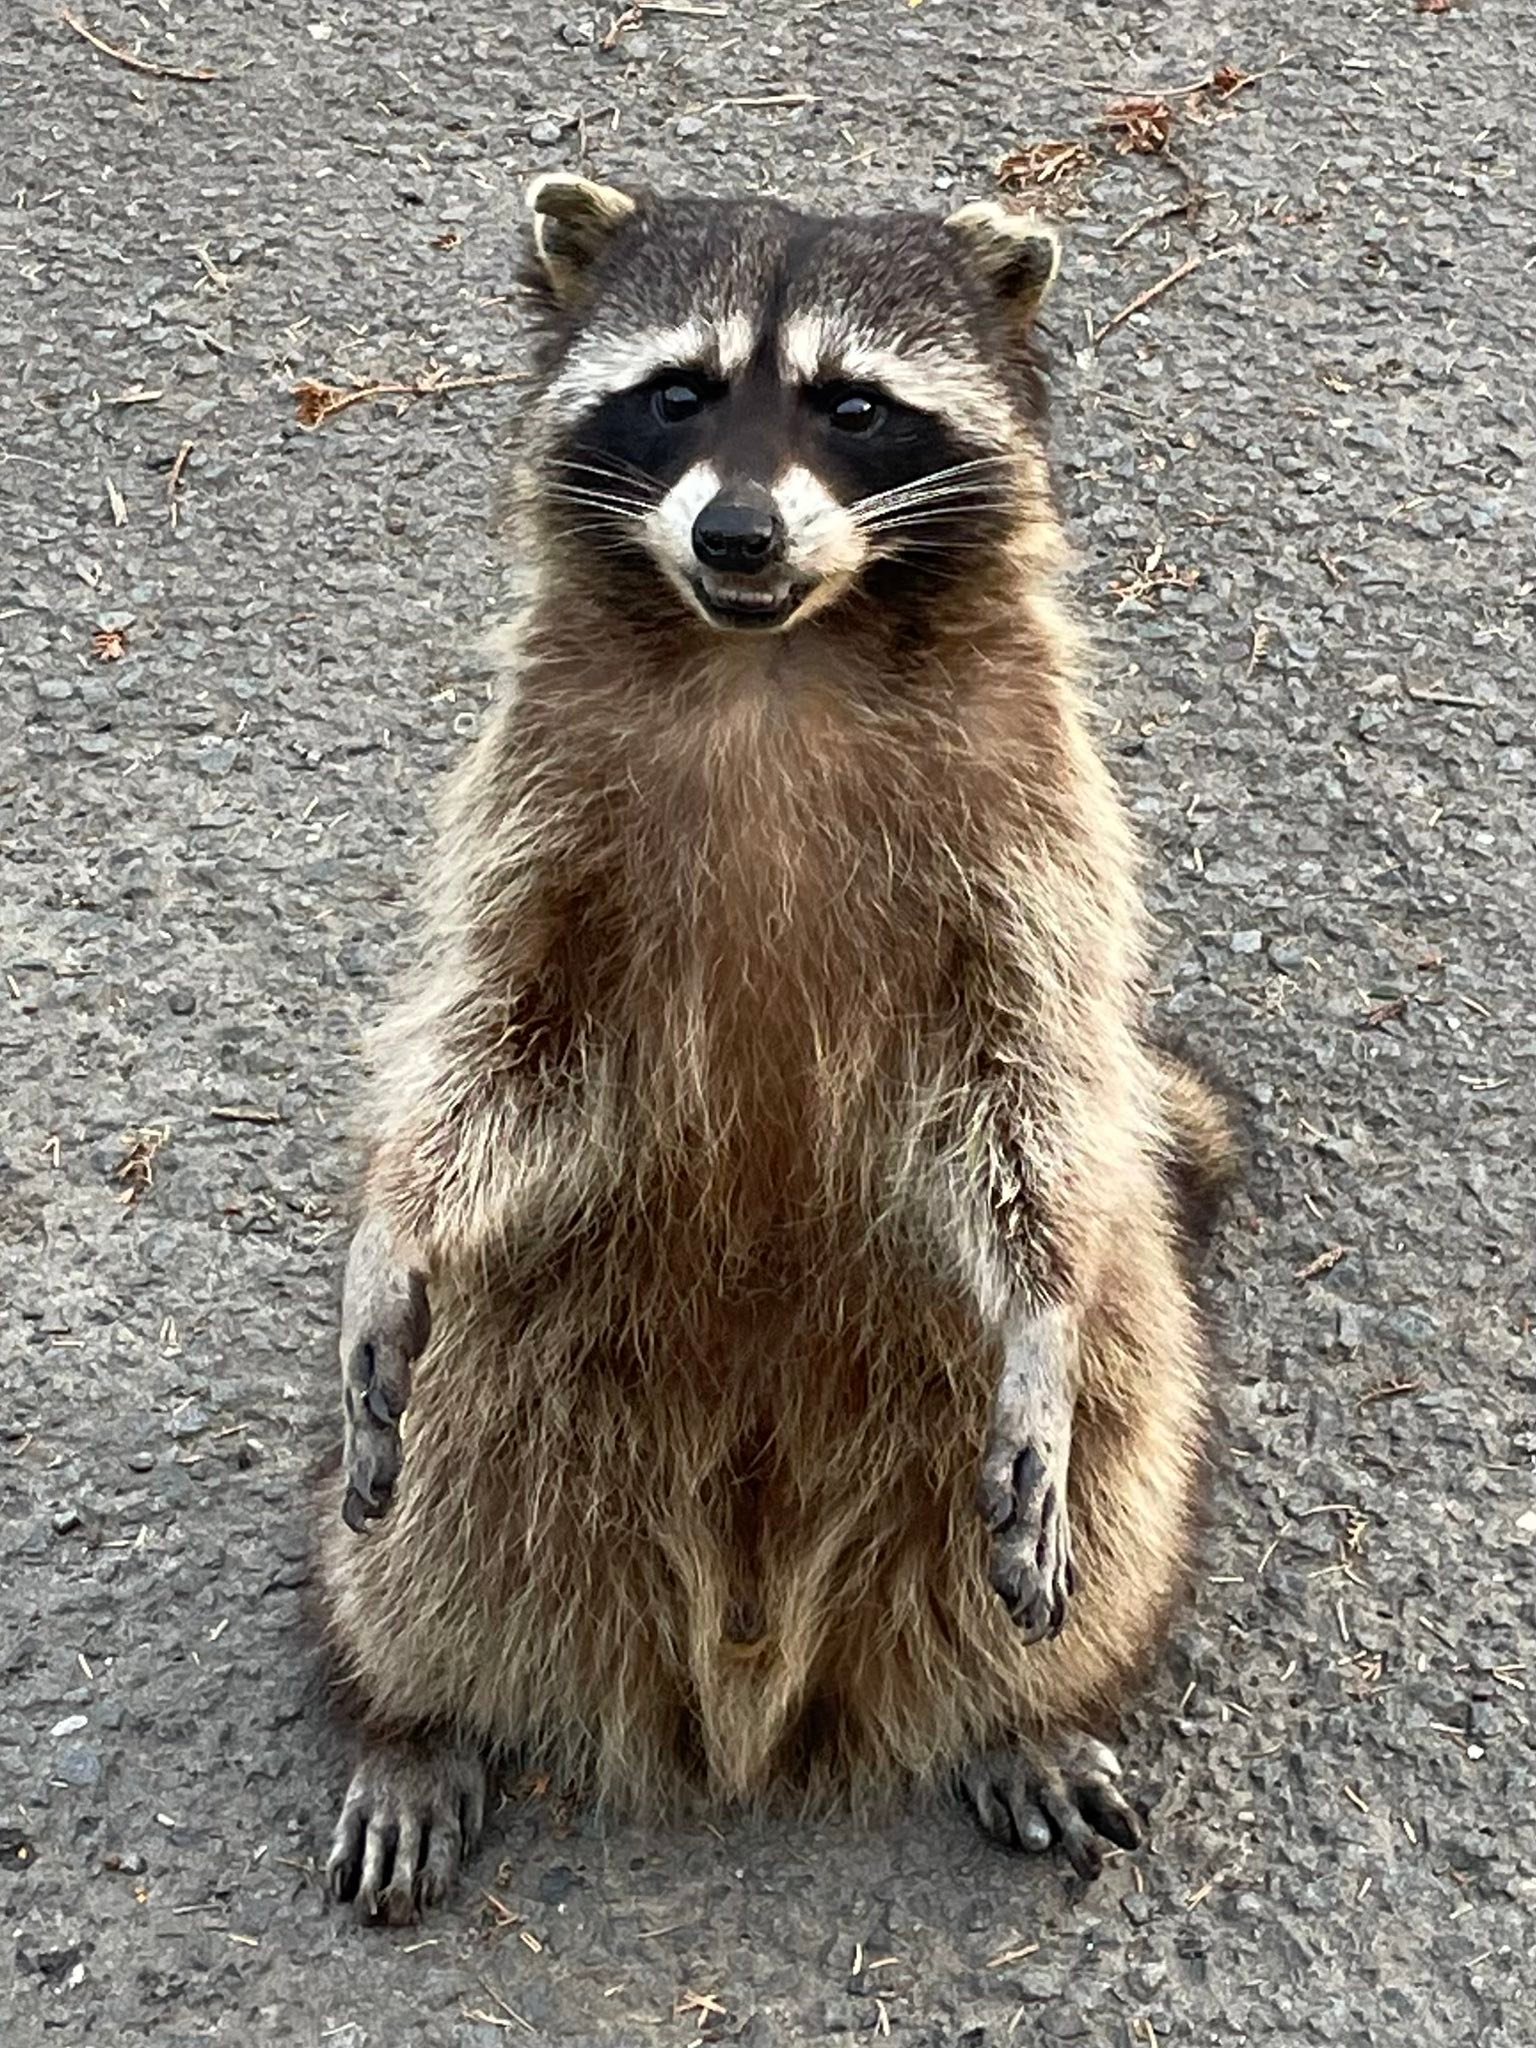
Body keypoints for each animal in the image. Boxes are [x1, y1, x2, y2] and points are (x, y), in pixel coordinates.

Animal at [318, 176, 1234, 1924]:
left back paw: (1031, 1702)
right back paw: (411, 1702)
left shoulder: (1035, 823)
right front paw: (396, 1226)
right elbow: (495, 1040)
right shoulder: (535, 806)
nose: (734, 532)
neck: (771, 650)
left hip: (1076, 1385)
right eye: (678, 394)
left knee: (1123, 1434)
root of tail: (743, 1675)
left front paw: (1035, 1315)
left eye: (852, 408)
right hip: (525, 1355)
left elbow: (1034, 1083)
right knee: (436, 1508)